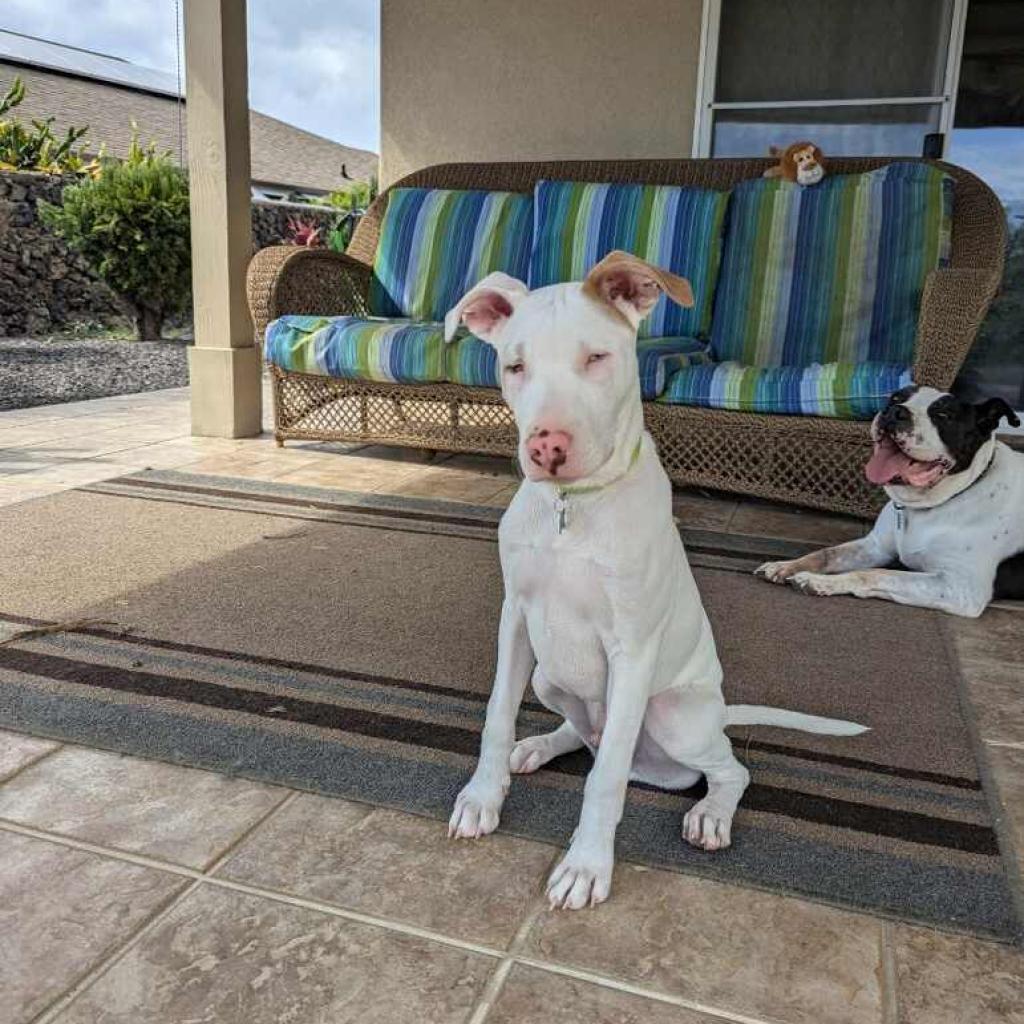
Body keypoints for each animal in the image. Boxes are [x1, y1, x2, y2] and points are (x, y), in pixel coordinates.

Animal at [442, 251, 864, 909]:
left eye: (596, 358)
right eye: (515, 366)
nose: (546, 448)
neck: (573, 507)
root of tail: (719, 710)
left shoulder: (633, 649)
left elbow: (607, 777)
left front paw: (586, 865)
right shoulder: (516, 620)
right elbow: (495, 717)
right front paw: (483, 796)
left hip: (672, 714)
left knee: (721, 768)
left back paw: (710, 814)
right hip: (549, 675)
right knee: (582, 732)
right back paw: (536, 746)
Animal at [757, 385, 1019, 614]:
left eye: (944, 414)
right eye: (895, 398)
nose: (894, 412)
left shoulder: (960, 588)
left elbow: (877, 573)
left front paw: (820, 582)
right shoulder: (875, 546)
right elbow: (826, 554)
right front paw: (785, 565)